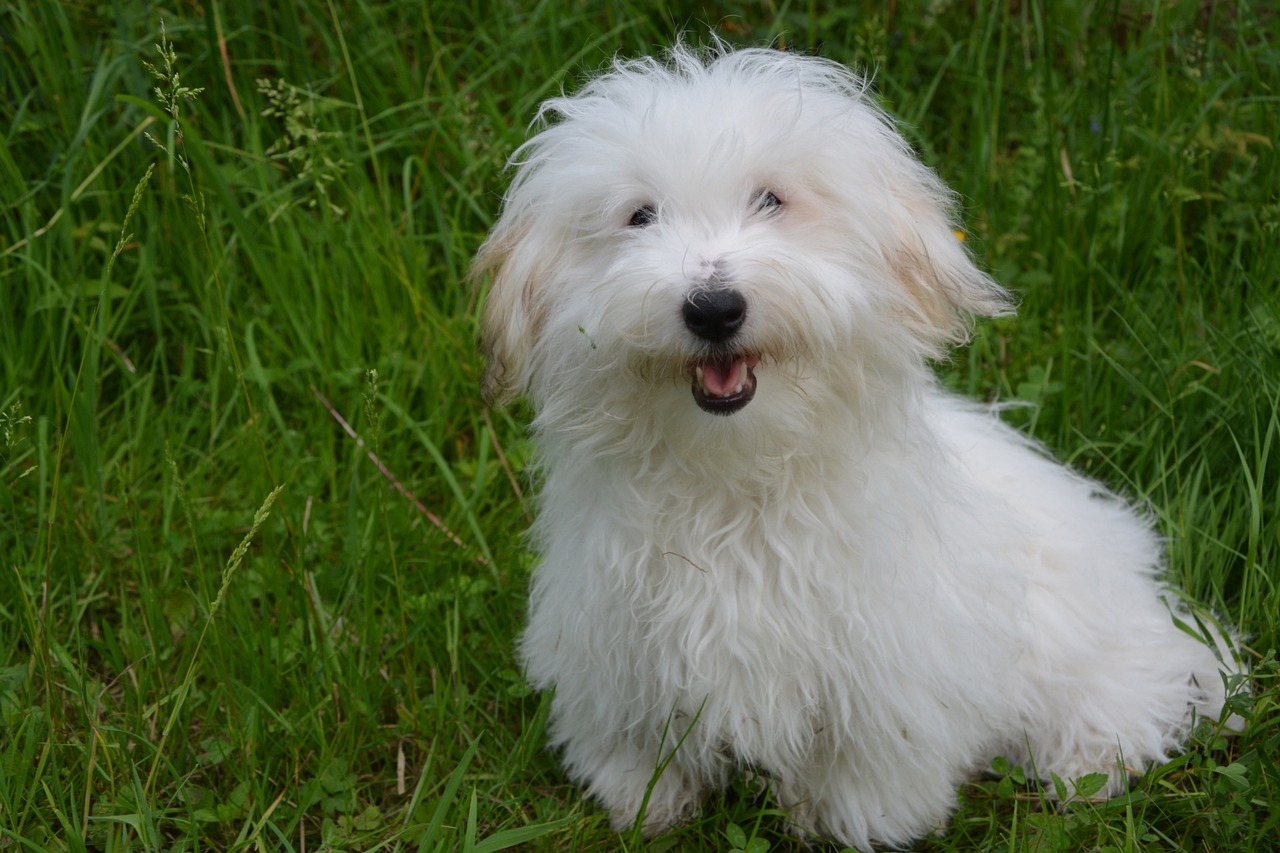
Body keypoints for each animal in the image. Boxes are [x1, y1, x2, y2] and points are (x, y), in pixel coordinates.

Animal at [471, 44, 1239, 845]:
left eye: (772, 201)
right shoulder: (615, 647)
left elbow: (868, 766)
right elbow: (637, 743)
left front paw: (845, 821)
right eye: (639, 215)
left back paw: (1088, 763)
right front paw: (644, 800)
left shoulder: (885, 670)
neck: (734, 479)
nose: (713, 307)